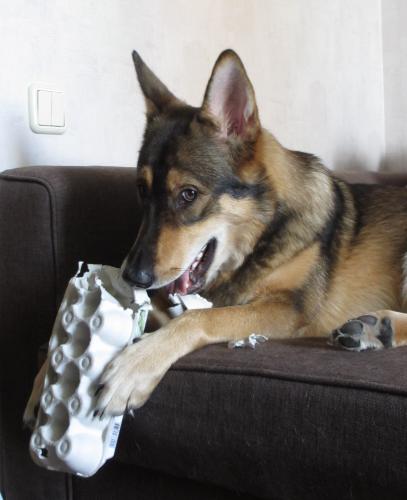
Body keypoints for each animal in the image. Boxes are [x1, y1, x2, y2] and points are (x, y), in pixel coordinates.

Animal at [24, 49, 407, 422]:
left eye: (188, 194)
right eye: (141, 190)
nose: (132, 277)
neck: (264, 231)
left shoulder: (289, 308)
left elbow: (200, 317)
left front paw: (134, 368)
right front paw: (47, 377)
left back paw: (380, 326)